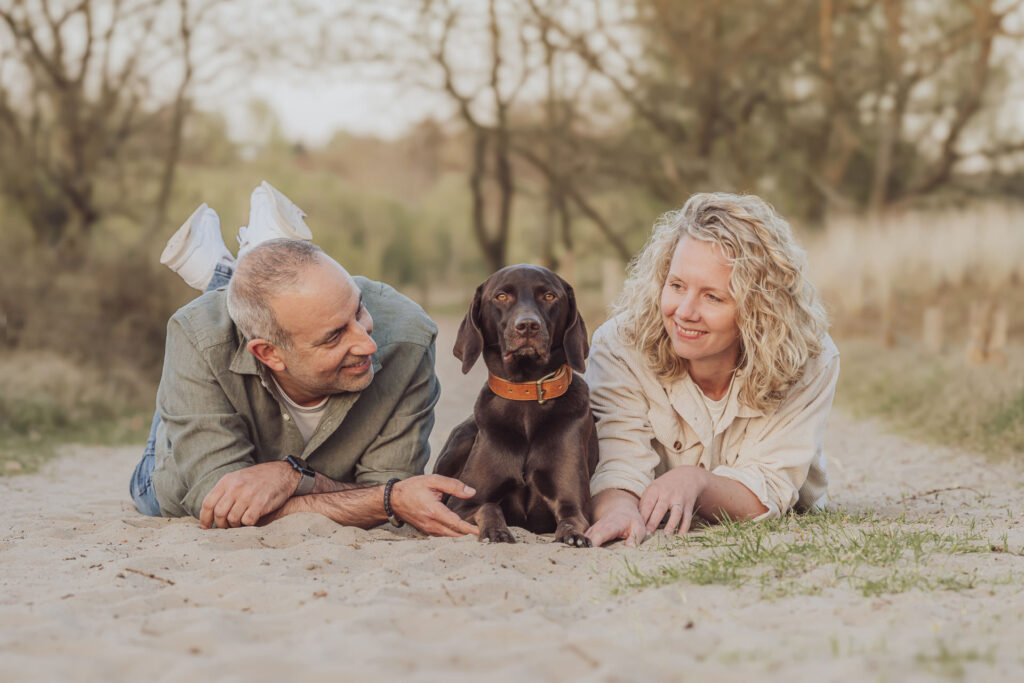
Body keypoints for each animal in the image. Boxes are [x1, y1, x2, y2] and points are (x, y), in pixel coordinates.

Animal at [432, 264, 598, 548]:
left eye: (549, 296)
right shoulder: (461, 504)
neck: (526, 394)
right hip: (461, 440)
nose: (528, 325)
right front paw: (496, 531)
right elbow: (488, 506)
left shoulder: (574, 505)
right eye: (501, 296)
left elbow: (571, 520)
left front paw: (574, 537)